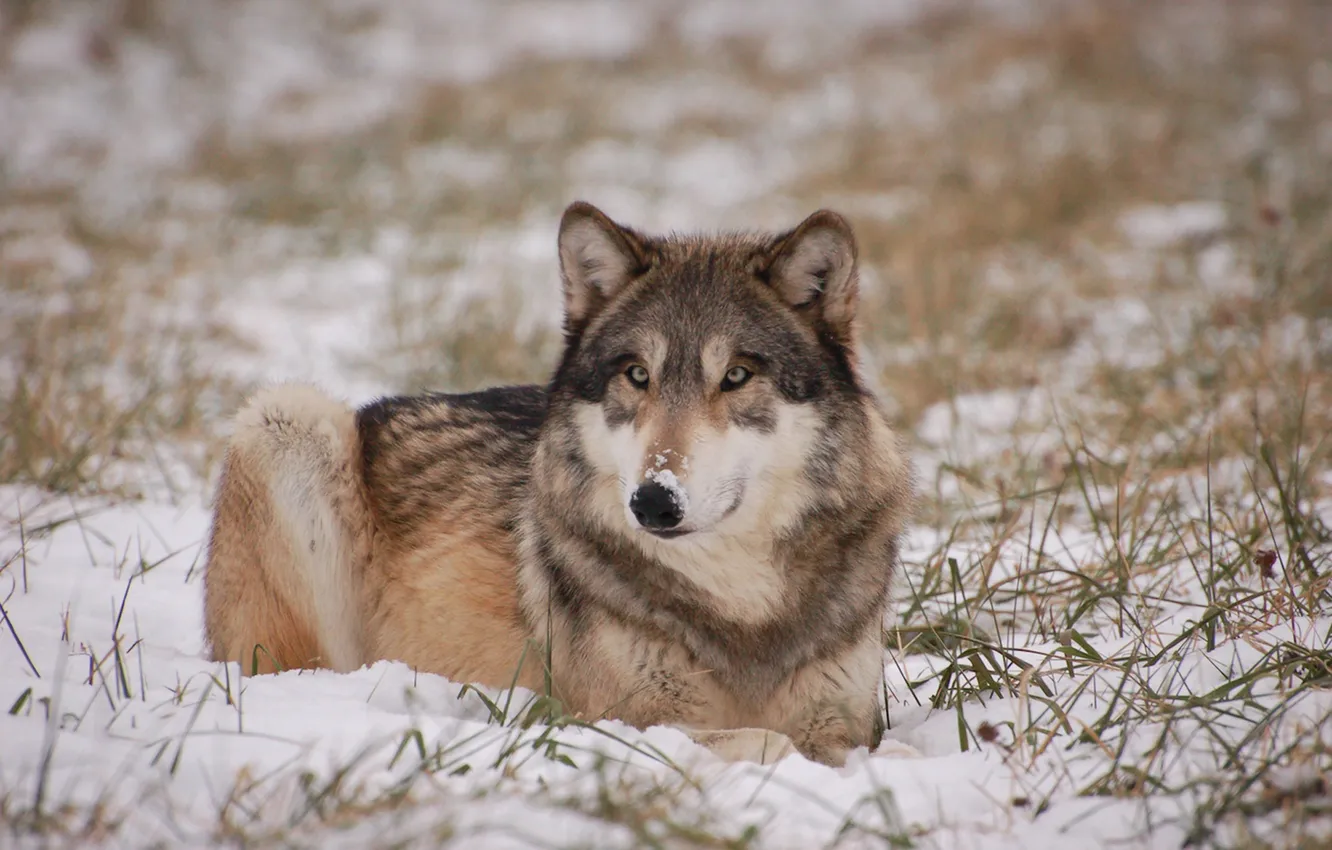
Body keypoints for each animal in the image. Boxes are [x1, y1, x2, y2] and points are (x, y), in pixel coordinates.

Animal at [205, 202, 916, 767]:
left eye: (737, 376)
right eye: (637, 375)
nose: (653, 501)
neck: (741, 608)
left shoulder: (848, 717)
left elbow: (883, 751)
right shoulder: (599, 720)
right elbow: (768, 740)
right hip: (284, 416)